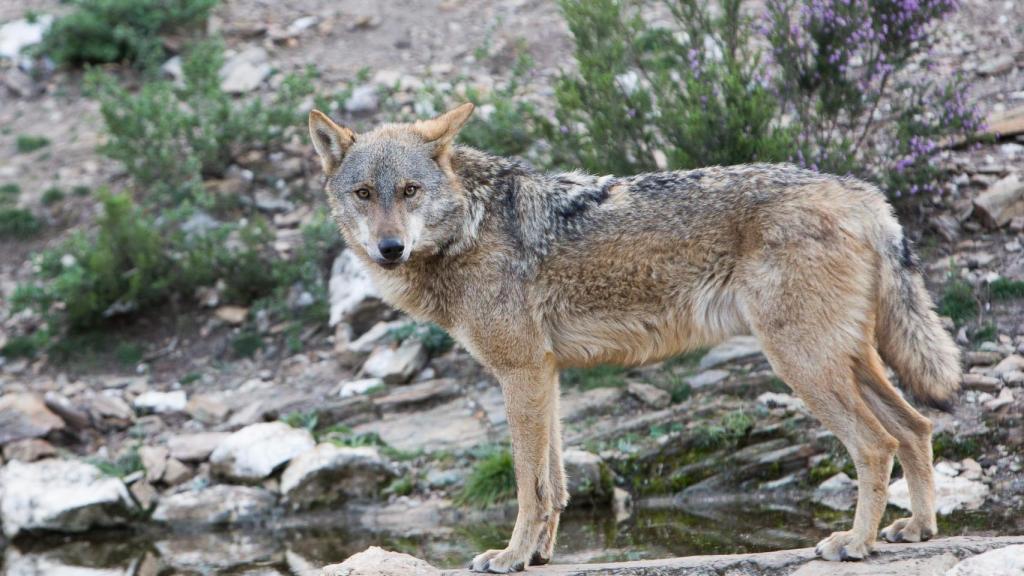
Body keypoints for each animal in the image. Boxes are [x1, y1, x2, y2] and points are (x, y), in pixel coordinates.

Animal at [308, 102, 961, 572]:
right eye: (364, 194)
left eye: (410, 191)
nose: (389, 248)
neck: (470, 225)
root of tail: (860, 192)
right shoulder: (545, 375)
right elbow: (555, 483)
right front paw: (539, 555)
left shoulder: (521, 373)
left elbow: (528, 484)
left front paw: (512, 555)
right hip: (845, 360)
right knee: (916, 426)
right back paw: (916, 529)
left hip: (804, 364)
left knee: (876, 443)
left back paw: (854, 542)